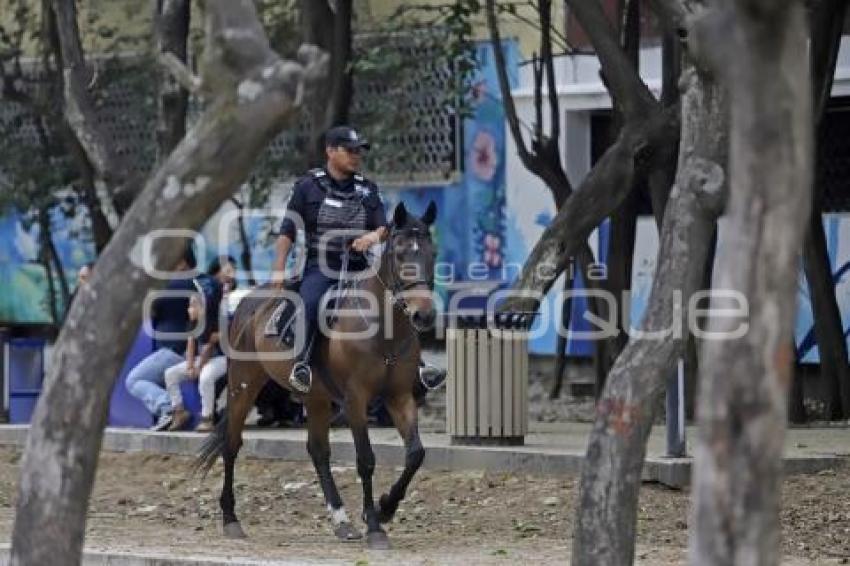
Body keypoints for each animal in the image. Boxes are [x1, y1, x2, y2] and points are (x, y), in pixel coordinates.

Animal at [195, 203, 438, 552]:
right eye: (400, 252)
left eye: (432, 253)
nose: (424, 314)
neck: (381, 329)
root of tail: (247, 302)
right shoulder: (355, 400)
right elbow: (366, 459)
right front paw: (375, 526)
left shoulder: (399, 396)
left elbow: (416, 454)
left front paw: (385, 508)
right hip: (244, 385)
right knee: (231, 445)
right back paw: (230, 519)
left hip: (317, 398)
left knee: (318, 451)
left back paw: (341, 520)